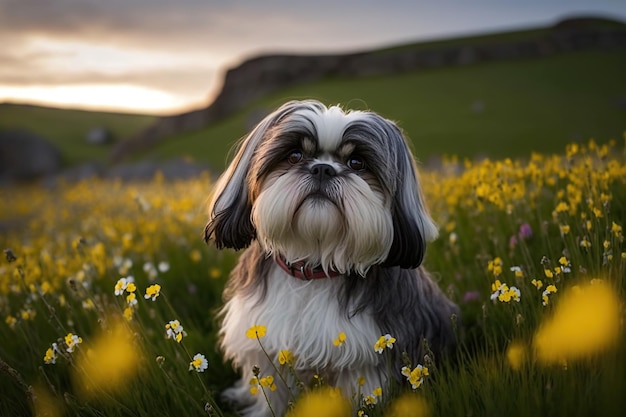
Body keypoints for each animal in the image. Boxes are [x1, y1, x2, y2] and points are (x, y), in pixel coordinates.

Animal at [205, 99, 454, 414]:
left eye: (357, 163)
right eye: (295, 155)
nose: (322, 169)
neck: (315, 265)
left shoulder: (366, 358)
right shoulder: (269, 353)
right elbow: (271, 398)